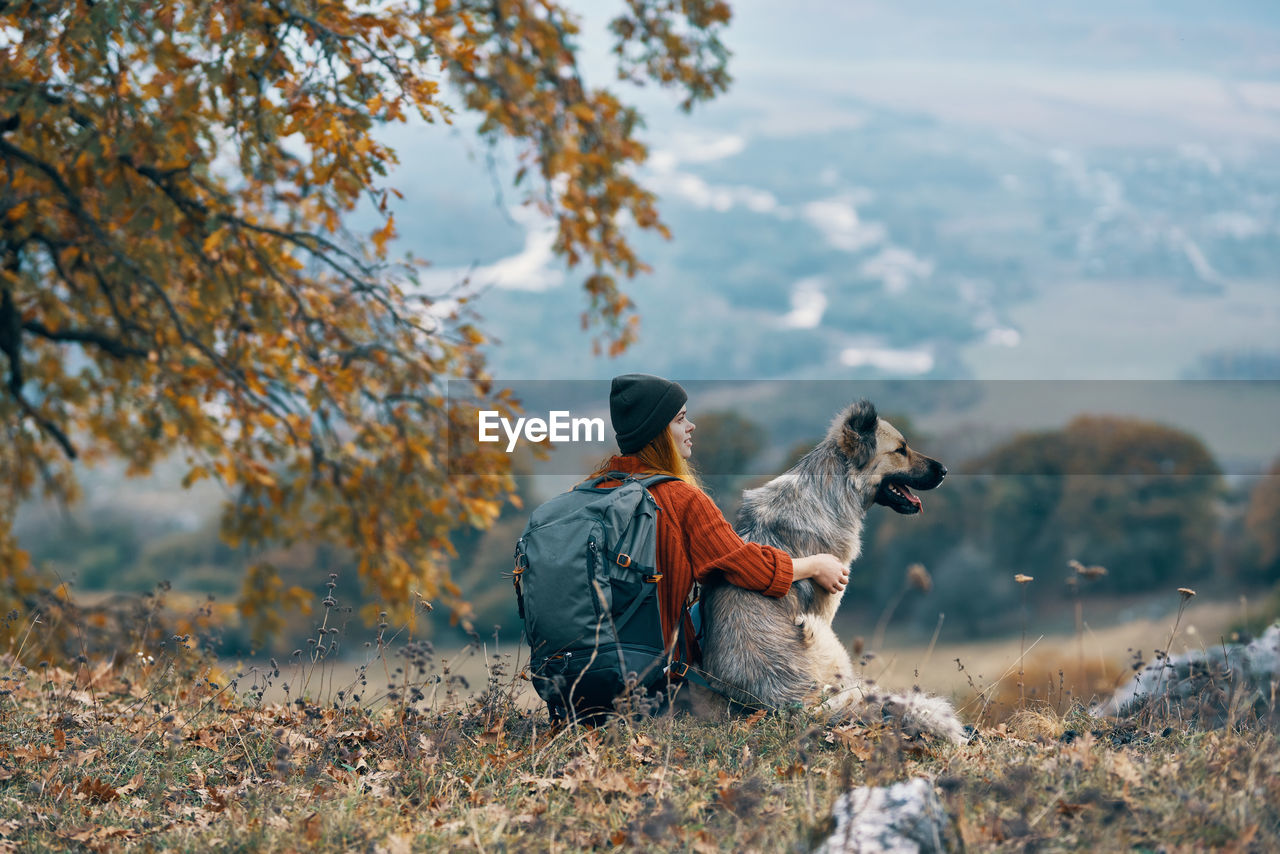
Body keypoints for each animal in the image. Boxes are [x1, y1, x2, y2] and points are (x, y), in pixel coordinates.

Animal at [701, 402, 962, 742]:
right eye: (901, 449)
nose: (945, 471)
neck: (829, 492)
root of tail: (788, 702)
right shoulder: (827, 604)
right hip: (822, 634)